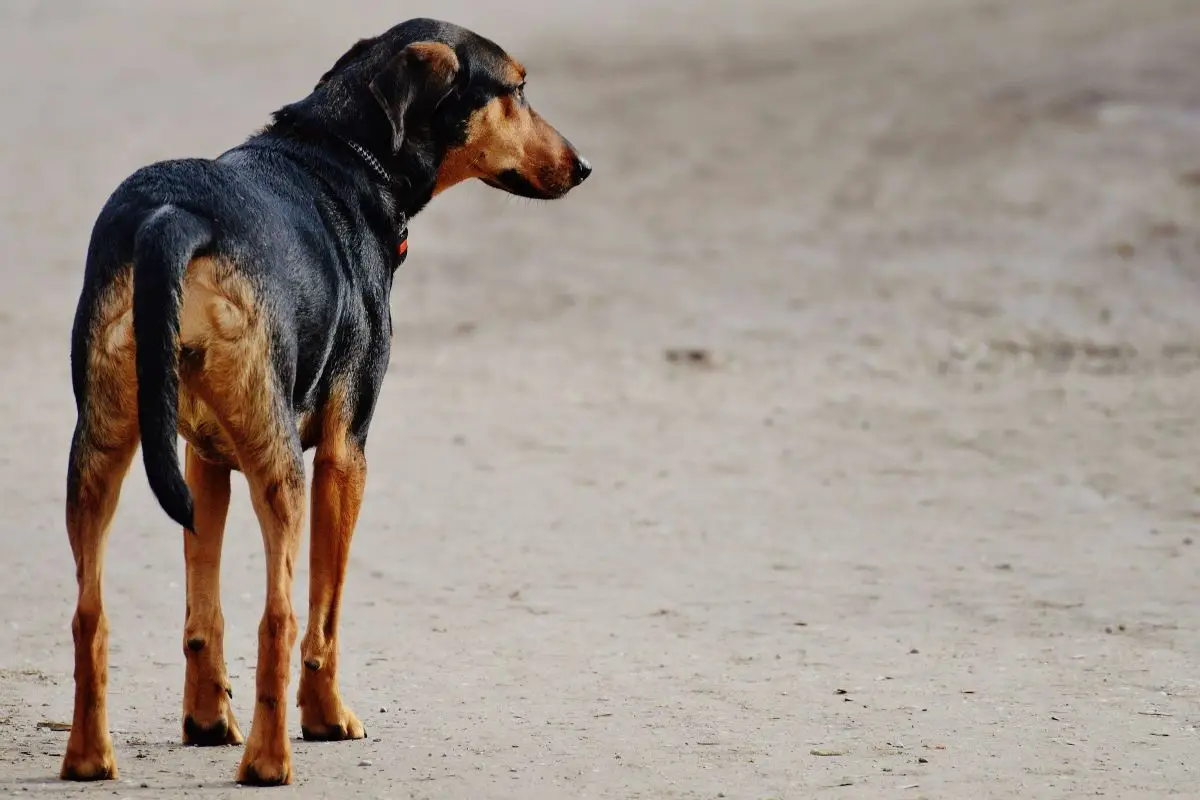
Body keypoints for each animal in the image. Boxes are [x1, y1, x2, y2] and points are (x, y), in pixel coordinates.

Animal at [60, 18, 590, 786]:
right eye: (516, 89)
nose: (584, 167)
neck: (344, 152)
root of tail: (173, 218)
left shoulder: (202, 458)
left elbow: (203, 613)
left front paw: (205, 721)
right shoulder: (346, 454)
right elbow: (325, 612)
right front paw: (326, 717)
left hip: (99, 449)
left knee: (89, 613)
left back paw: (89, 758)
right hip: (282, 468)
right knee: (278, 617)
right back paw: (269, 761)